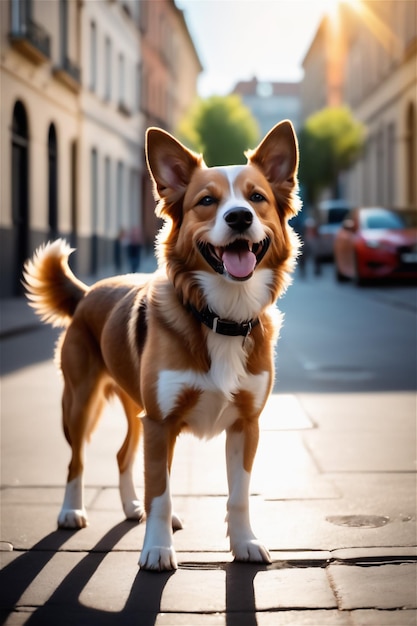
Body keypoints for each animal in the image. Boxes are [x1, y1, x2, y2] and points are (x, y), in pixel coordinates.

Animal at [23, 119, 300, 568]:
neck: (220, 315)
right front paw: (156, 549)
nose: (239, 217)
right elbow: (161, 492)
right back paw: (72, 511)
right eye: (207, 201)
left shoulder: (246, 425)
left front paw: (244, 543)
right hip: (82, 403)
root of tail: (87, 293)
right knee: (77, 460)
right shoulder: (160, 423)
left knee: (123, 457)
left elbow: (238, 495)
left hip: (136, 409)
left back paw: (131, 508)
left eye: (256, 197)